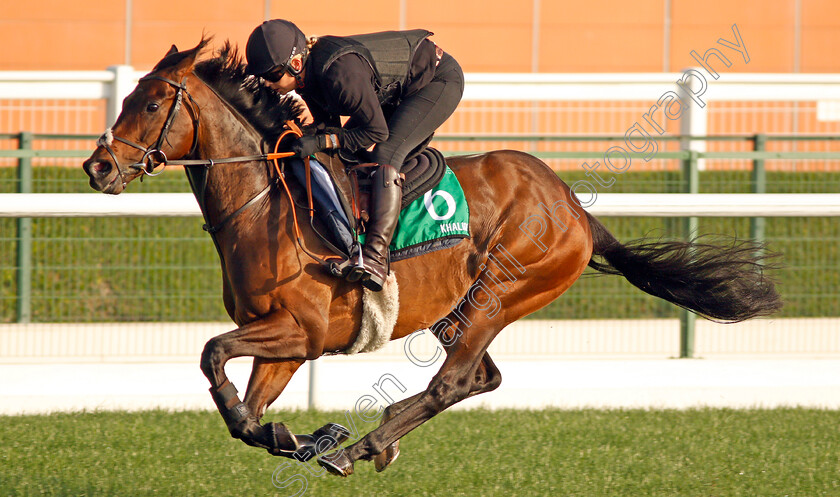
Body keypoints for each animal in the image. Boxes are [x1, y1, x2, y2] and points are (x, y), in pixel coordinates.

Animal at [82, 39, 784, 476]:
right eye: (128, 98)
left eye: (151, 103)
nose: (98, 167)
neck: (265, 203)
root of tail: (573, 207)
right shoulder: (284, 339)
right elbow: (247, 415)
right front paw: (302, 434)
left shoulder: (301, 330)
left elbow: (211, 353)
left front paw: (320, 439)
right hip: (460, 309)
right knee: (480, 377)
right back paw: (370, 440)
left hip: (502, 294)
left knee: (455, 381)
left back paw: (364, 445)